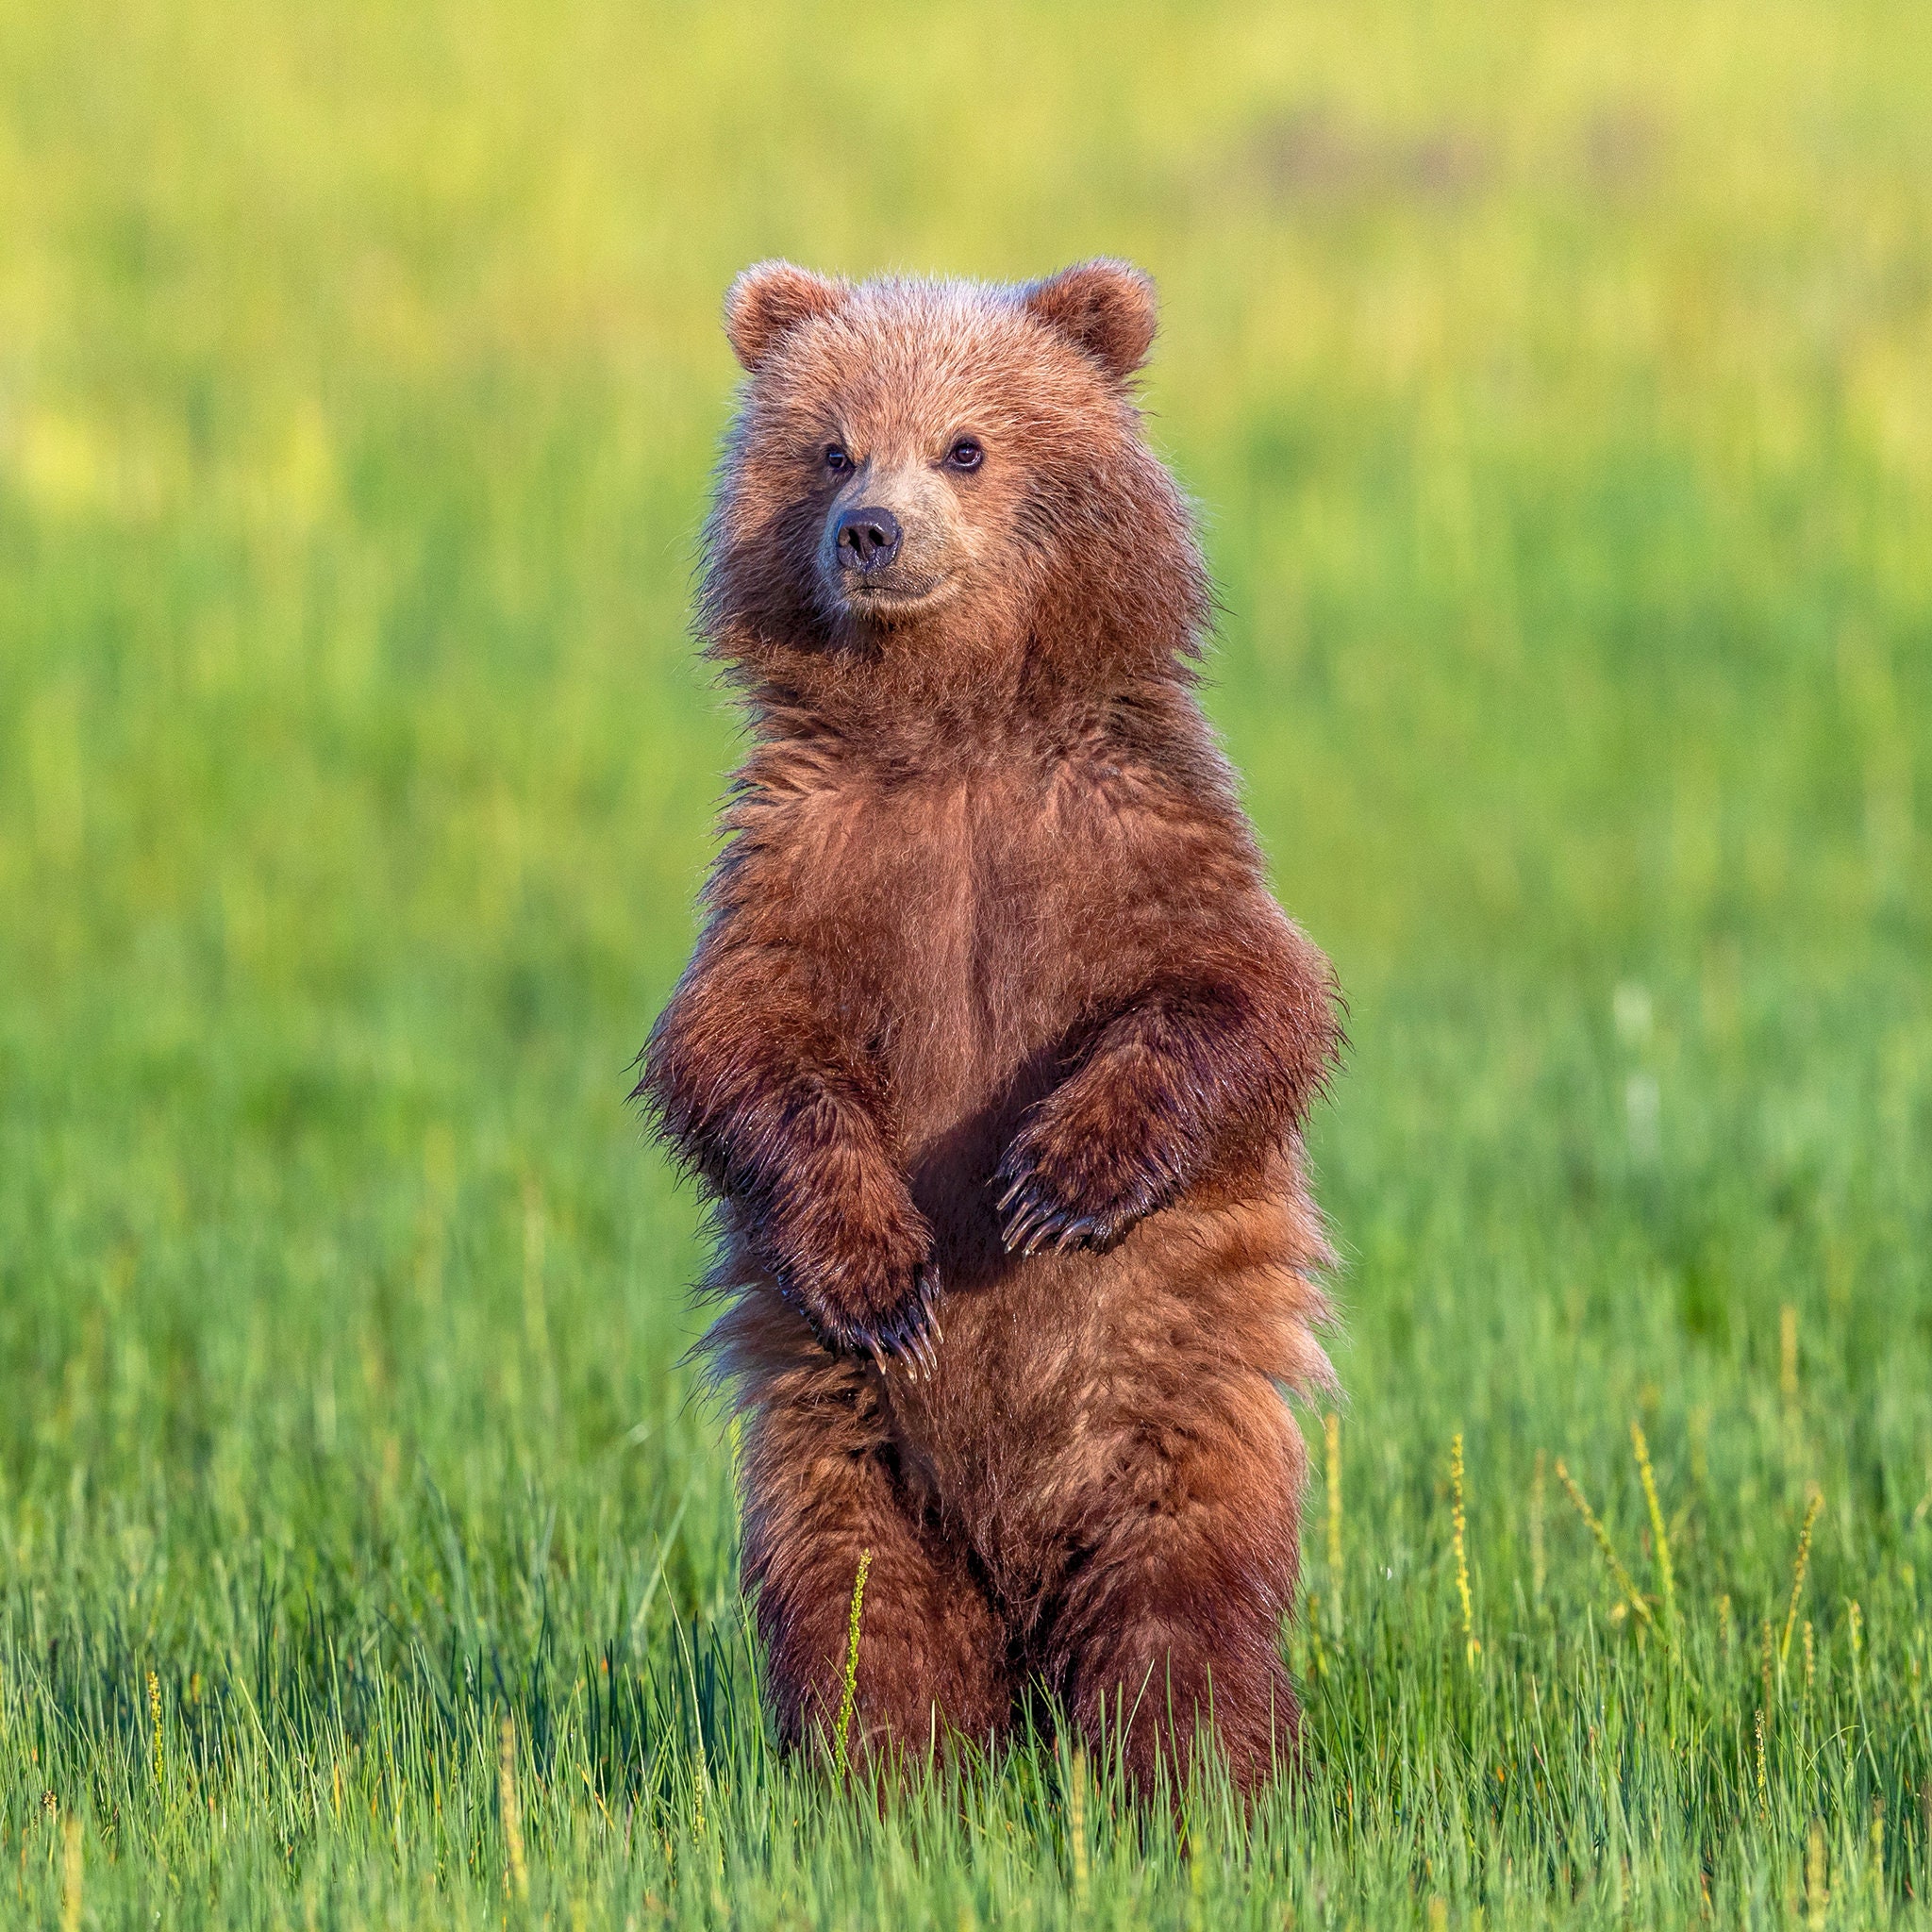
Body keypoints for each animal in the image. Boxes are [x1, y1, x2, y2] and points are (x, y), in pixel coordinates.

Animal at [638, 258, 1342, 1799]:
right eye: (831, 444)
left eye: (965, 444)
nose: (870, 530)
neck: (954, 728)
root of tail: (1016, 1584)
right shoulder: (810, 857)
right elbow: (738, 1046)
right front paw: (885, 1269)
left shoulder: (1125, 827)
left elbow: (1238, 997)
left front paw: (1054, 1181)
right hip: (839, 1447)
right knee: (860, 1613)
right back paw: (887, 1785)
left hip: (1170, 1421)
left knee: (1180, 1611)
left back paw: (1196, 1783)